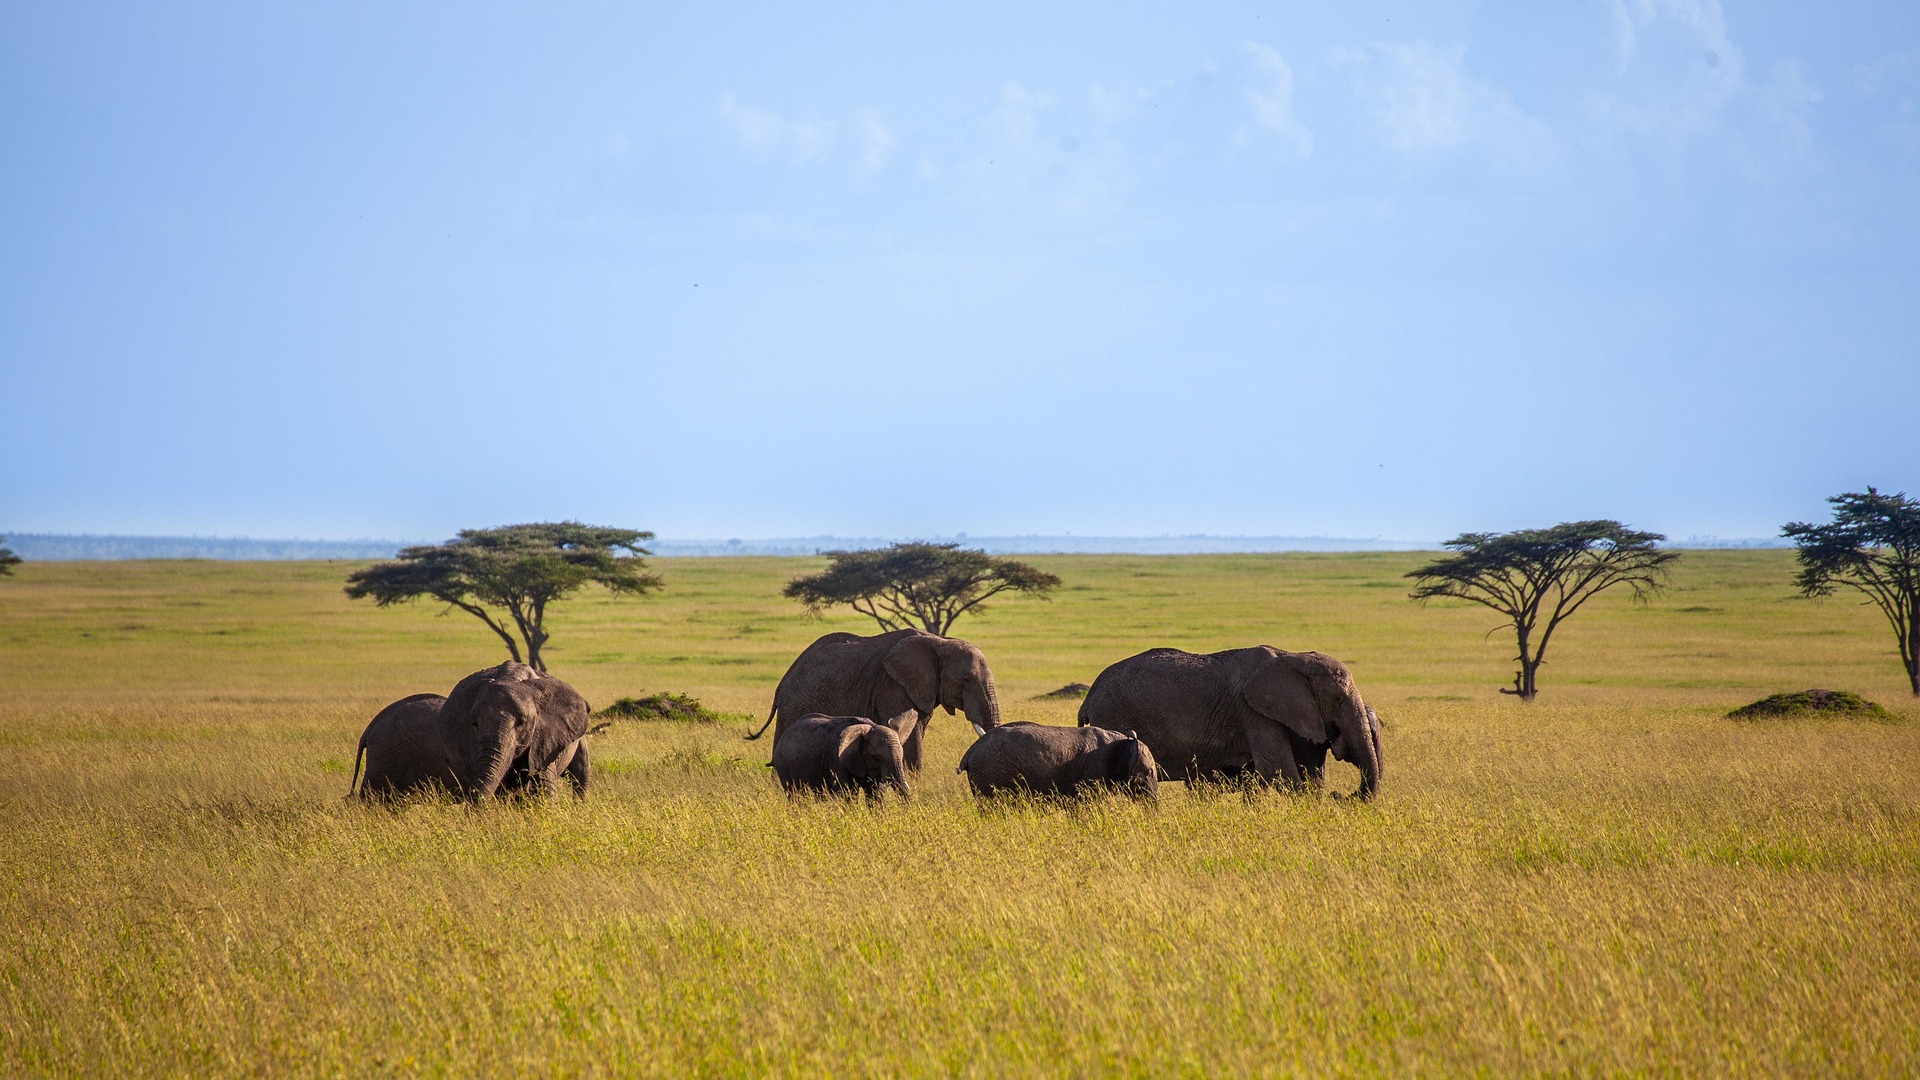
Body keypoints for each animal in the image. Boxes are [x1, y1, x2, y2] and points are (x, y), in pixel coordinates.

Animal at [745, 628, 1002, 772]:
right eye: (966, 679)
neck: (940, 641)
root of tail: (782, 683)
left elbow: (917, 729)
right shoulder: (893, 684)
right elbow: (911, 738)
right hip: (795, 704)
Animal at [770, 713, 912, 799]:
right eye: (876, 757)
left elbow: (875, 794)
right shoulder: (837, 761)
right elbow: (848, 793)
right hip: (782, 762)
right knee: (795, 793)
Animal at [1077, 646, 1382, 799]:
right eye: (1338, 699)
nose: (1340, 796)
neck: (1294, 656)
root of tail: (1089, 697)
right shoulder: (1254, 713)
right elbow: (1278, 770)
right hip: (1114, 715)